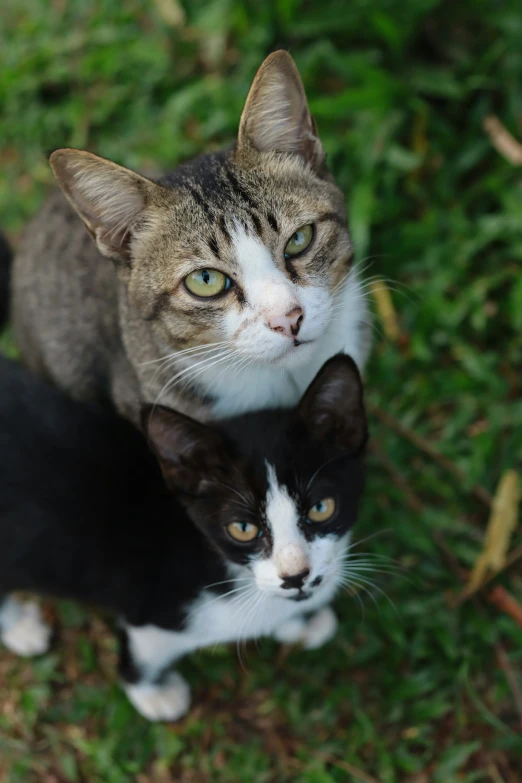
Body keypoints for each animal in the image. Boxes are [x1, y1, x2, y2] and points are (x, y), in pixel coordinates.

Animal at [0, 356, 366, 724]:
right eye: (242, 528)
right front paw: (152, 694)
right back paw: (21, 627)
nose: (296, 577)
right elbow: (142, 653)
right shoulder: (154, 609)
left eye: (321, 508)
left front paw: (300, 623)